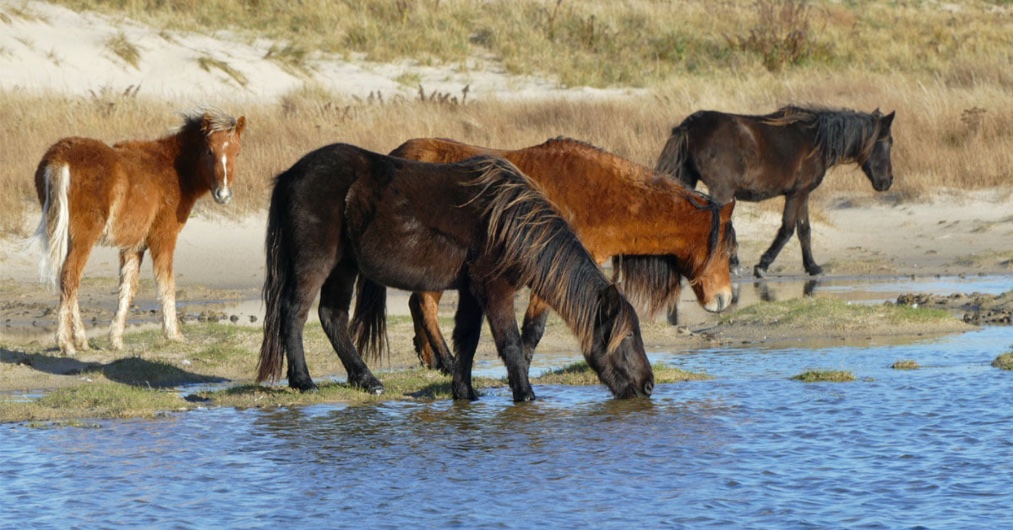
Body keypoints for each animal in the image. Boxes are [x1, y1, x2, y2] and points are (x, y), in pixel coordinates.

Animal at [27, 107, 246, 355]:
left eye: (237, 153)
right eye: (209, 151)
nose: (223, 195)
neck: (173, 168)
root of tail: (60, 158)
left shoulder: (134, 245)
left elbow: (127, 288)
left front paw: (116, 339)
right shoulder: (163, 237)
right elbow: (166, 284)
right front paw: (174, 334)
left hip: (65, 235)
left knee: (67, 280)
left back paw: (81, 340)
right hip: (83, 237)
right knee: (70, 277)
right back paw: (66, 343)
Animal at [256, 143, 654, 402]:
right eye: (628, 337)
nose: (649, 385)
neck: (510, 224)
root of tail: (292, 174)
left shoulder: (470, 291)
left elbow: (467, 339)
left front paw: (464, 392)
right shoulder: (495, 289)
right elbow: (509, 341)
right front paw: (525, 394)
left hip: (344, 266)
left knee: (332, 317)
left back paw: (367, 380)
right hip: (315, 261)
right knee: (294, 312)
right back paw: (303, 381)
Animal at [385, 137, 736, 372]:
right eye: (727, 250)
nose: (724, 298)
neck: (600, 196)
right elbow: (533, 331)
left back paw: (431, 358)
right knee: (424, 304)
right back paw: (446, 362)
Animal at [656, 105, 895, 278]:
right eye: (889, 142)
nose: (887, 181)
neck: (816, 141)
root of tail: (690, 125)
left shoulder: (802, 194)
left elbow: (804, 230)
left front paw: (812, 266)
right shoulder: (797, 193)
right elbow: (788, 228)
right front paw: (763, 264)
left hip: (689, 181)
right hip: (721, 190)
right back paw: (730, 264)